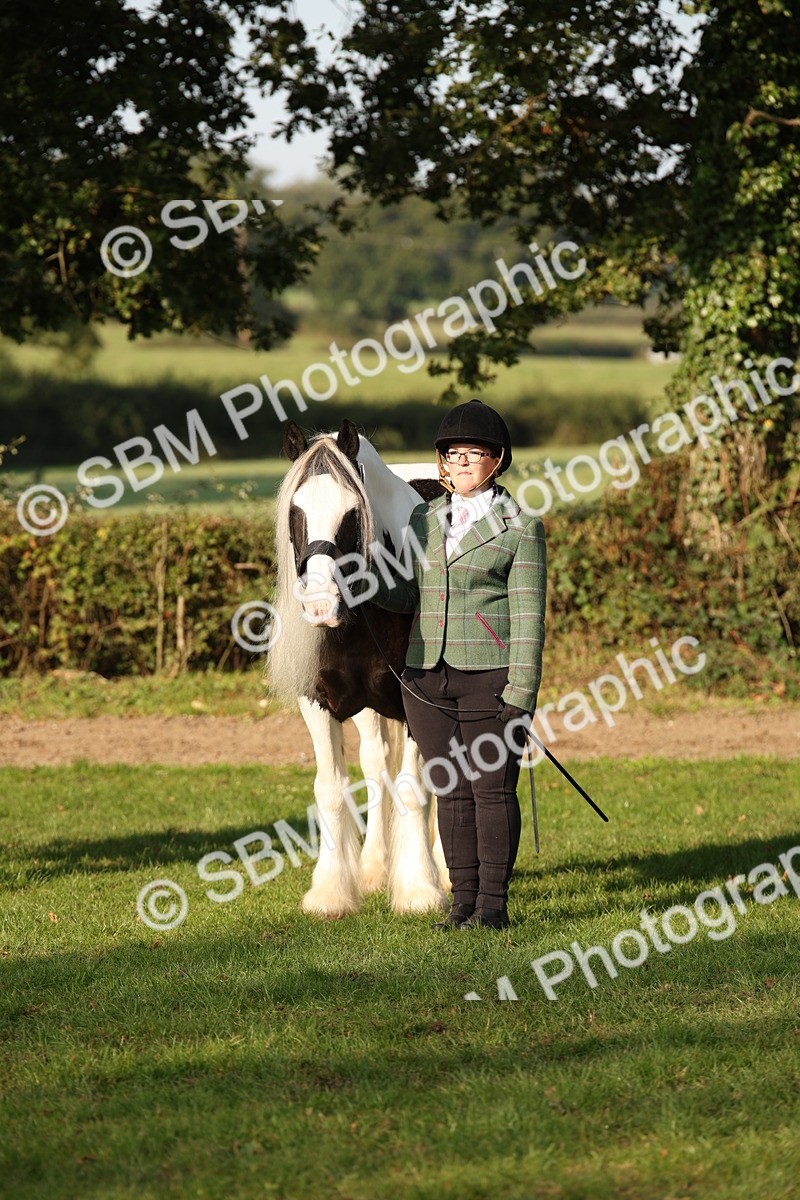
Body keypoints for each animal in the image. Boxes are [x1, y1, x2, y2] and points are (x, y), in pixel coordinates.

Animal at [266, 417, 450, 918]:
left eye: (352, 513)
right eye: (295, 510)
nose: (319, 605)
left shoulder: (417, 704)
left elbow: (413, 788)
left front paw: (419, 890)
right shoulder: (317, 704)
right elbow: (331, 789)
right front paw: (331, 891)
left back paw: (444, 871)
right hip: (369, 711)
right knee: (375, 763)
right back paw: (373, 868)